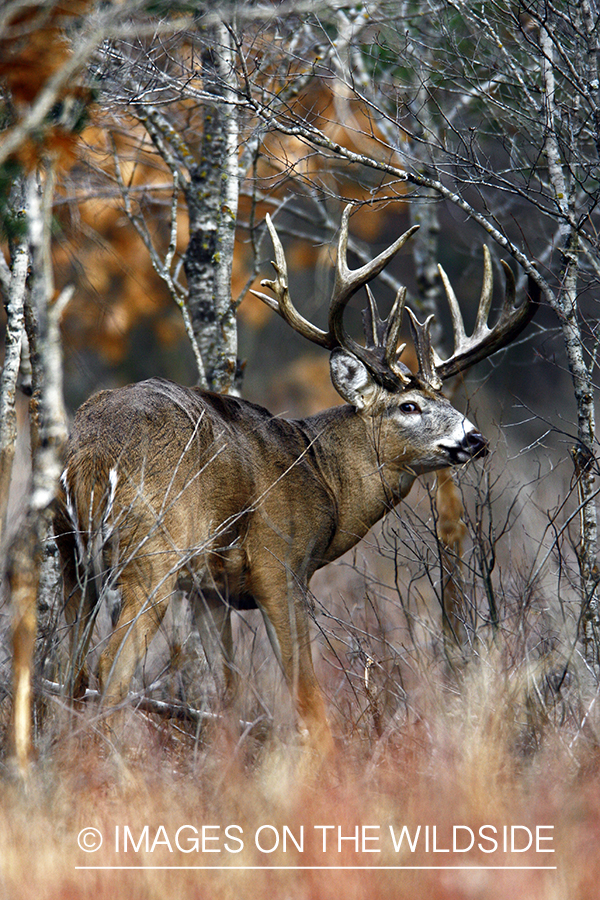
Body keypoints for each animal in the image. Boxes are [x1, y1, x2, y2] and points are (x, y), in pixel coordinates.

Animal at [52, 207, 540, 756]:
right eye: (409, 406)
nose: (475, 438)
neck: (323, 477)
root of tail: (92, 456)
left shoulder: (209, 591)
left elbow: (228, 691)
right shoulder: (279, 563)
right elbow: (305, 691)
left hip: (73, 558)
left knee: (69, 668)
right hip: (152, 556)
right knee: (107, 666)